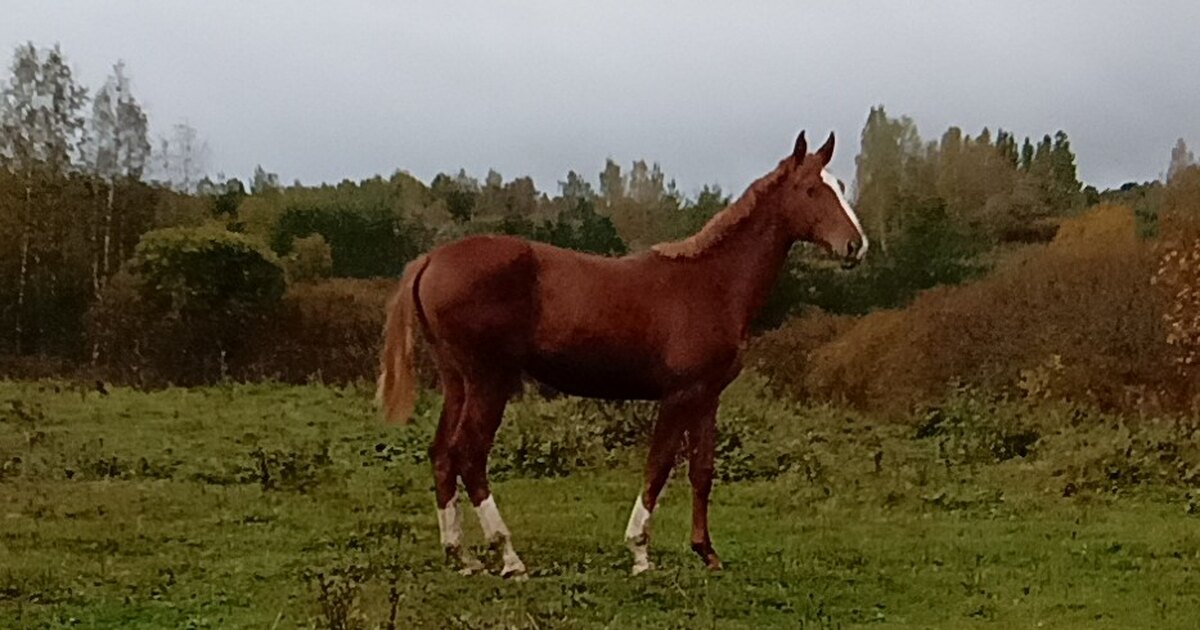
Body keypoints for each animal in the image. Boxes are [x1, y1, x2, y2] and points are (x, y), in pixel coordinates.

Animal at [379, 130, 868, 578]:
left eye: (840, 184)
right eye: (810, 189)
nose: (856, 246)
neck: (712, 282)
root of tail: (431, 259)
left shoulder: (707, 396)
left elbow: (702, 471)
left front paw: (706, 552)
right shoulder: (679, 395)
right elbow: (659, 466)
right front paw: (639, 553)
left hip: (458, 381)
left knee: (442, 453)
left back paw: (459, 556)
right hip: (489, 382)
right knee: (470, 454)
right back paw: (509, 556)